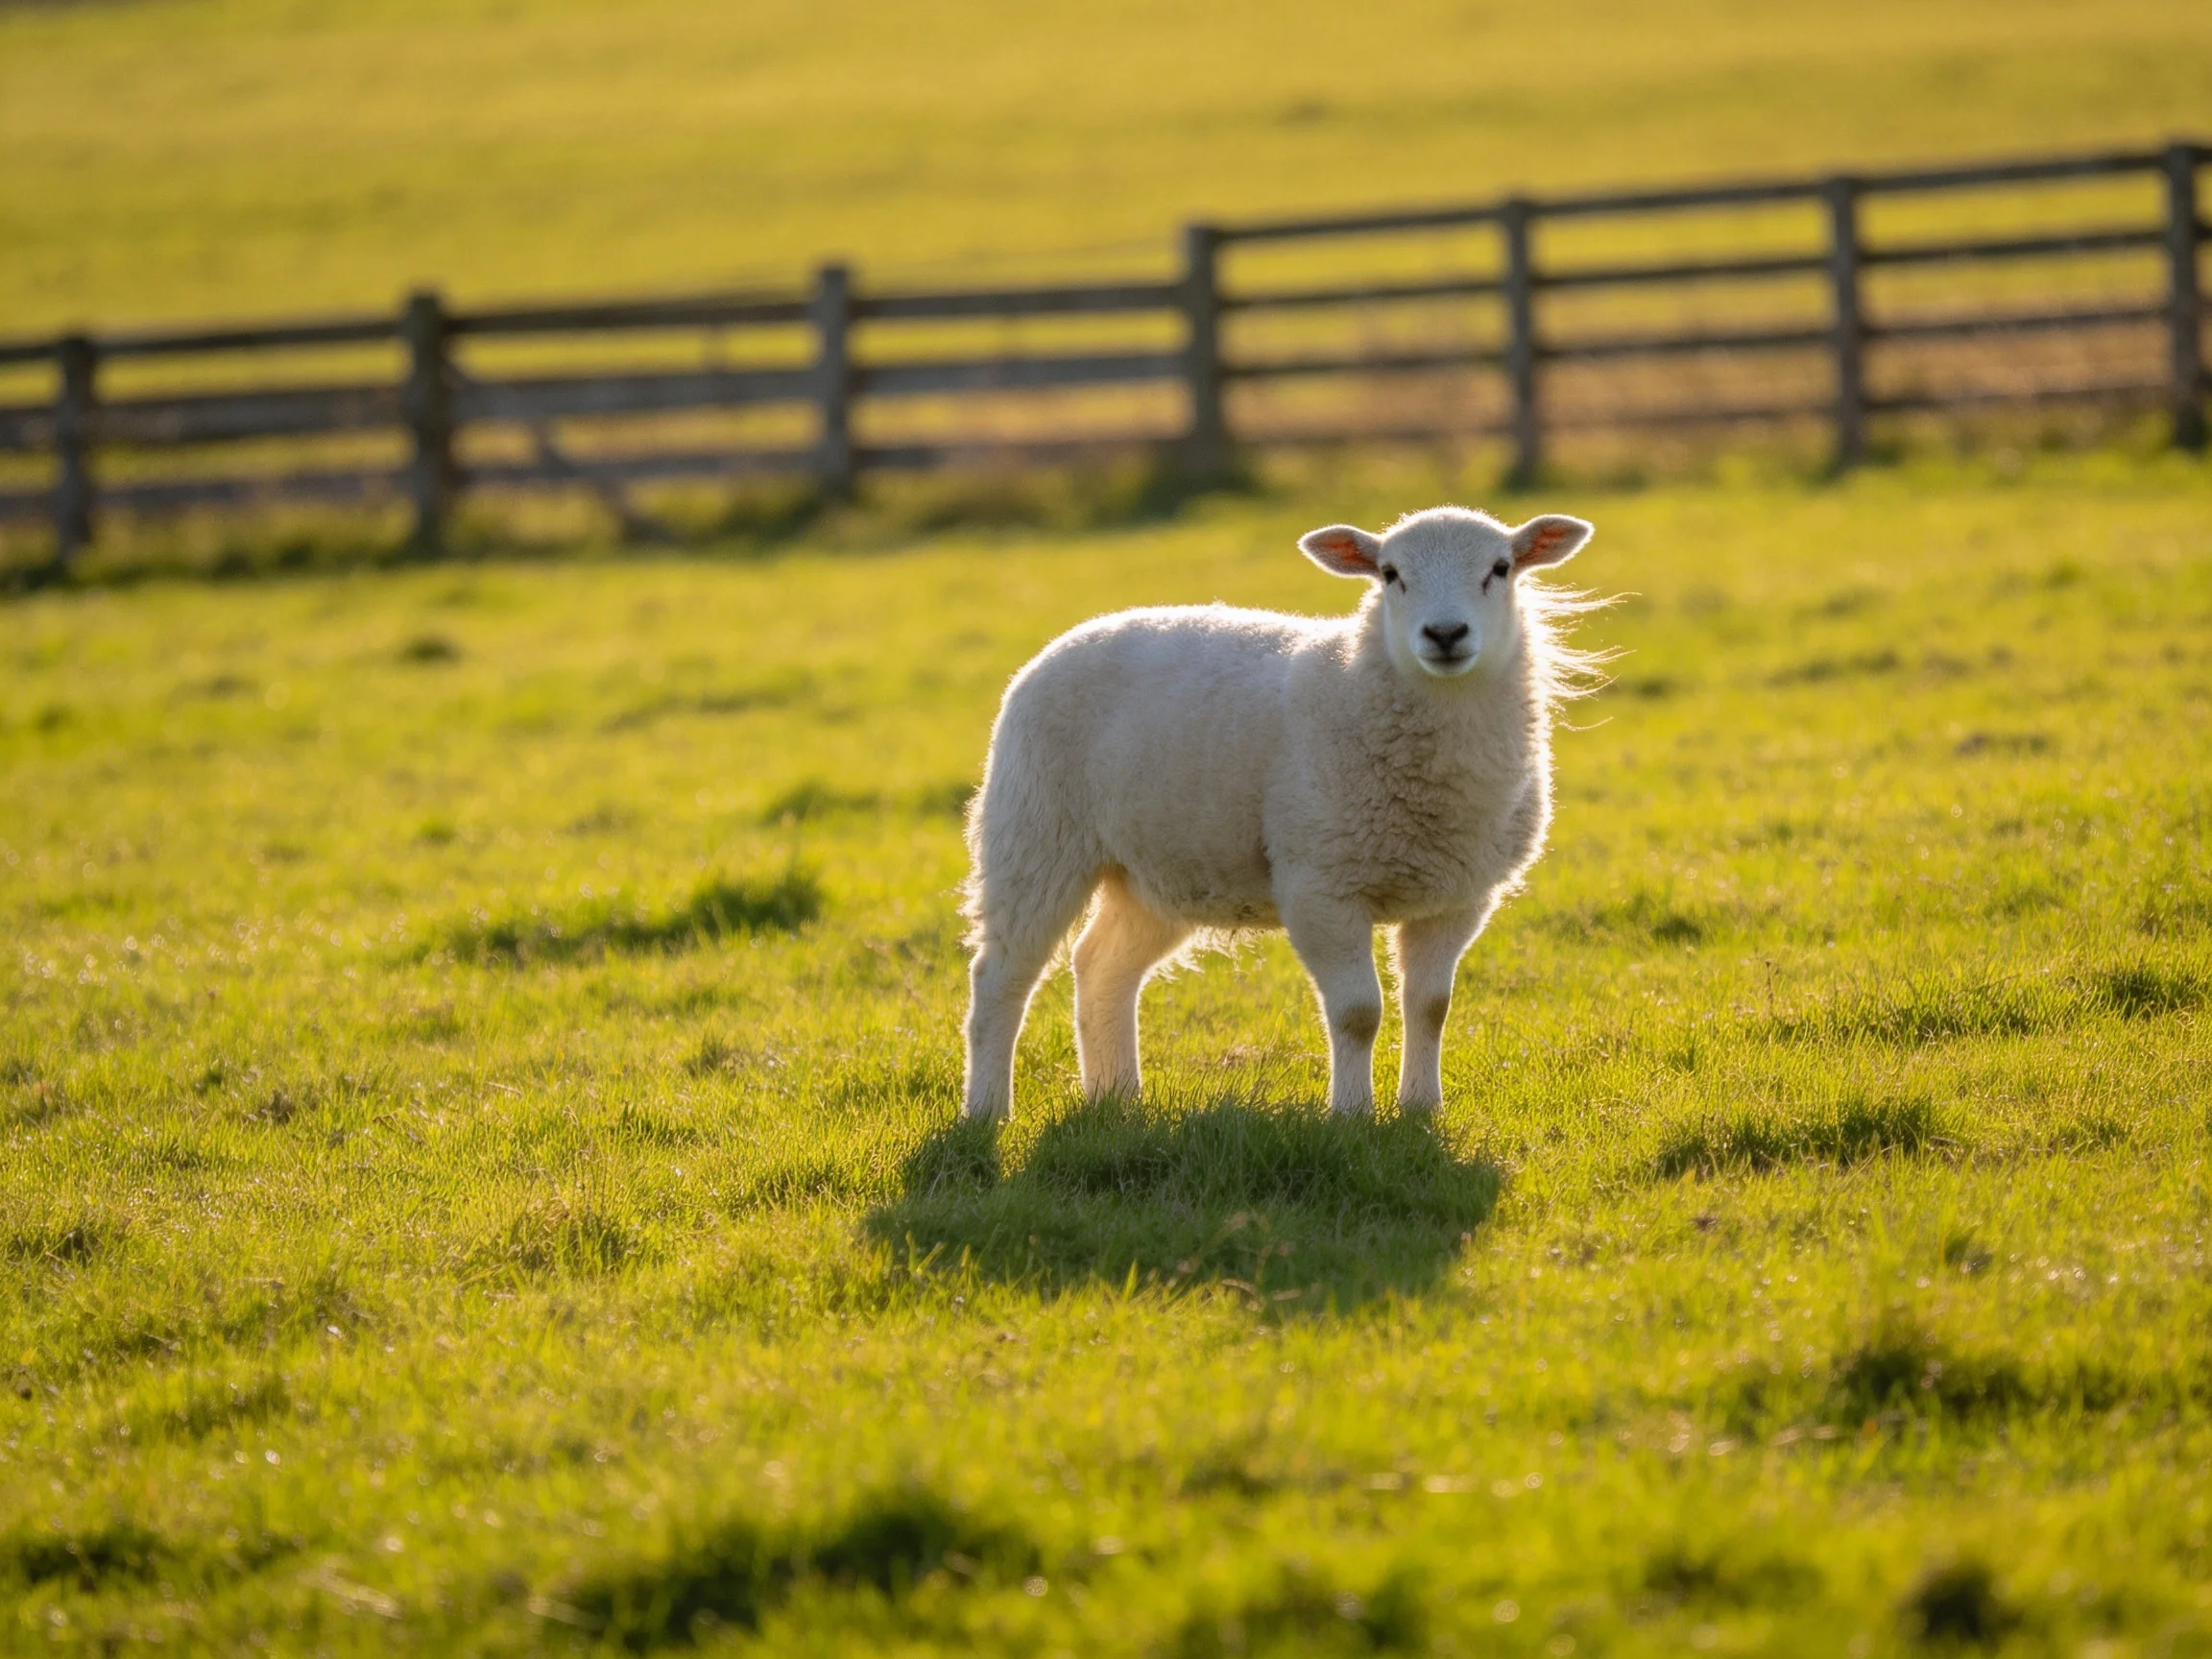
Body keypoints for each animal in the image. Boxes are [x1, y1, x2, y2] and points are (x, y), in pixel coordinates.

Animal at [959, 505, 1603, 1122]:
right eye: (1390, 574)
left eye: (1501, 568)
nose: (1445, 633)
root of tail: (1073, 636)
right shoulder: (1320, 886)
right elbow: (1358, 1013)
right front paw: (1352, 1115)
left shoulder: (1458, 898)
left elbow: (1431, 1007)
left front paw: (1422, 1109)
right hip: (1035, 833)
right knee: (1001, 978)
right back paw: (988, 1112)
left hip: (1156, 872)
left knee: (1101, 966)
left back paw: (1116, 1100)